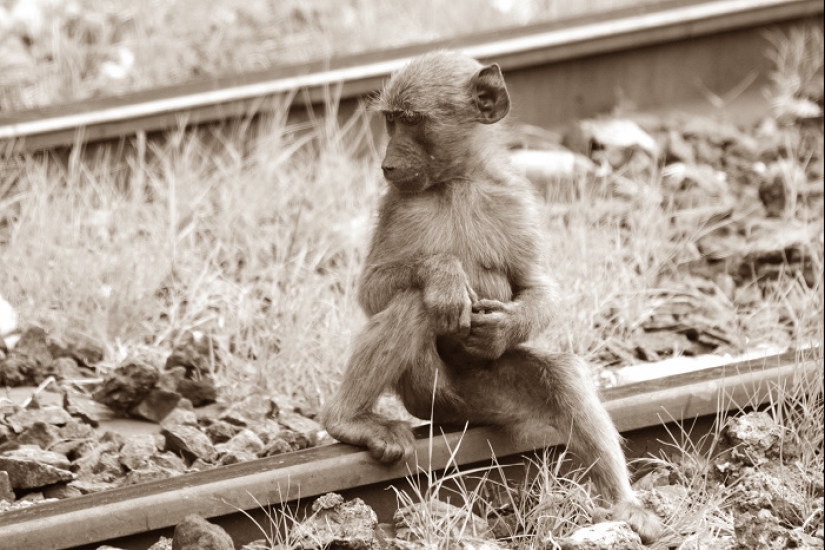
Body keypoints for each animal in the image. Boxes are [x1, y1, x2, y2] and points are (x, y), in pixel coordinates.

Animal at [320, 50, 663, 543]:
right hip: (428, 394)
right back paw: (349, 420)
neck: (456, 182)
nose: (387, 163)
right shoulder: (396, 202)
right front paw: (444, 271)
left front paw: (502, 327)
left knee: (561, 374)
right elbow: (373, 288)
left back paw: (625, 504)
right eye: (390, 121)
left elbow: (537, 286)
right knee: (417, 303)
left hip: (488, 399)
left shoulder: (514, 200)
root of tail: (455, 413)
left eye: (410, 120)